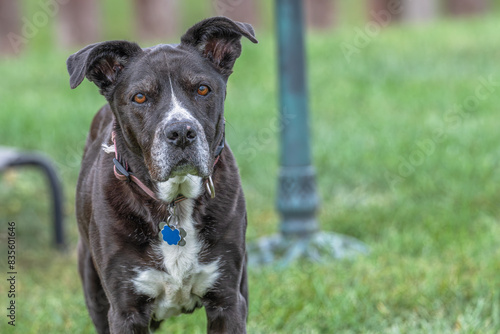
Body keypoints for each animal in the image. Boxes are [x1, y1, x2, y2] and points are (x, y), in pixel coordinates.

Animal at [66, 17, 258, 332]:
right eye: (140, 97)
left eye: (202, 89)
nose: (181, 132)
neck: (174, 203)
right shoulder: (125, 310)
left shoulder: (228, 300)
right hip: (92, 284)